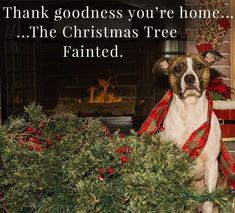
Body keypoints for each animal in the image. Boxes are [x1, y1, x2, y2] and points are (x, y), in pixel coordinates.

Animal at [151, 50, 223, 212]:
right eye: (177, 69)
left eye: (199, 66)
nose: (189, 77)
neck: (190, 110)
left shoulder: (212, 164)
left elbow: (208, 200)